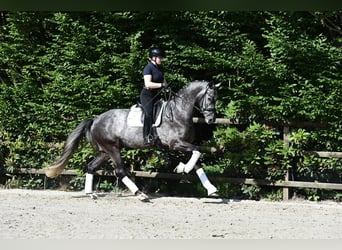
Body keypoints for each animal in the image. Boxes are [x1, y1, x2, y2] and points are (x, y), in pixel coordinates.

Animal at [44, 80, 222, 201]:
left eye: (216, 98)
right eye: (210, 98)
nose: (211, 119)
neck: (178, 113)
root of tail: (95, 120)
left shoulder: (183, 146)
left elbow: (197, 162)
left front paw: (211, 188)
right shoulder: (176, 144)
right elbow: (197, 152)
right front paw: (182, 169)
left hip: (105, 151)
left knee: (91, 167)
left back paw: (91, 193)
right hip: (113, 149)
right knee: (119, 171)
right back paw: (140, 194)